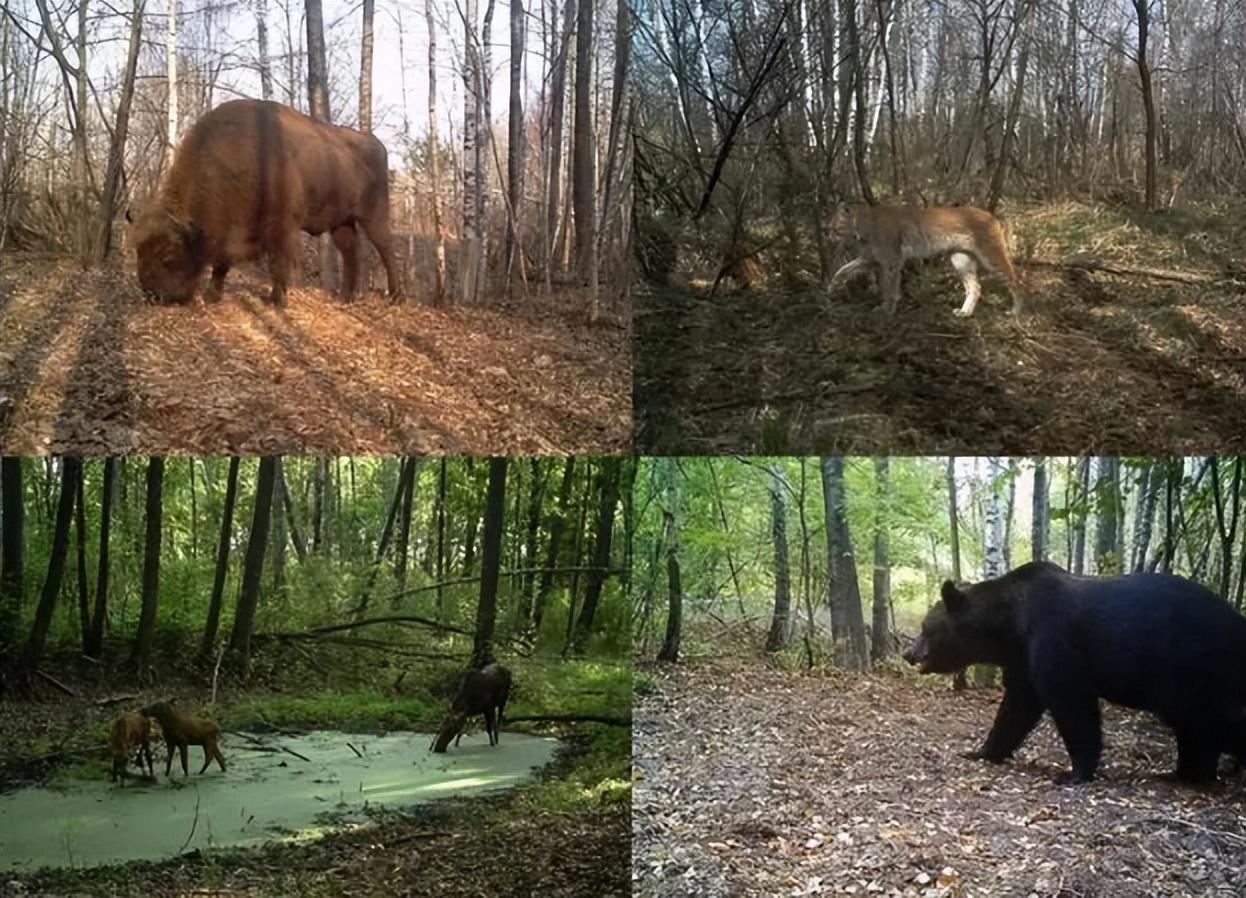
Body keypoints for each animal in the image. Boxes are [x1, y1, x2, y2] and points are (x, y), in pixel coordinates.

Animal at [127, 99, 398, 305]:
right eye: (139, 250)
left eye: (168, 256)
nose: (151, 293)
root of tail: (377, 144)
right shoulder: (232, 229)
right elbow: (222, 263)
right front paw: (212, 295)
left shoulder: (282, 225)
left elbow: (277, 263)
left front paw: (277, 300)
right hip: (340, 222)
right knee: (351, 252)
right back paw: (345, 297)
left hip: (374, 215)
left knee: (386, 249)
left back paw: (395, 296)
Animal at [907, 560, 1246, 787]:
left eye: (925, 627)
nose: (909, 653)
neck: (1012, 622)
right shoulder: (1022, 657)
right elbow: (1016, 708)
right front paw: (980, 751)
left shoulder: (1053, 638)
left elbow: (1071, 703)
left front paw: (1074, 773)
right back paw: (1189, 772)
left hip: (1191, 667)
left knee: (1212, 721)